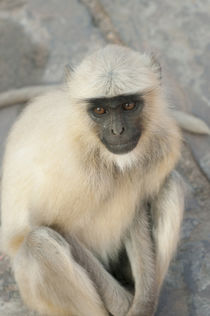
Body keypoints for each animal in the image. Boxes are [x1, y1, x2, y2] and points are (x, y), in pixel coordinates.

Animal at [0, 45, 184, 316]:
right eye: (100, 110)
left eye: (128, 105)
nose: (118, 131)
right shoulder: (70, 165)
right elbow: (52, 224)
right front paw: (123, 304)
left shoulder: (162, 144)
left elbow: (137, 209)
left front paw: (143, 305)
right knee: (38, 242)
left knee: (172, 186)